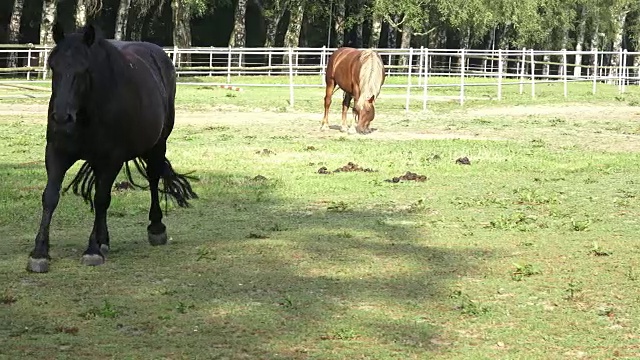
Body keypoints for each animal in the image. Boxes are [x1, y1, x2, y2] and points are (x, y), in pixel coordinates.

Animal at [27, 22, 198, 272]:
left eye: (84, 69)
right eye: (53, 66)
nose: (61, 117)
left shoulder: (111, 159)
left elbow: (101, 199)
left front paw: (92, 250)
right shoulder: (57, 154)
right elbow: (50, 197)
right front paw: (39, 253)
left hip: (158, 144)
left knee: (153, 178)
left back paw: (156, 228)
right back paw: (104, 240)